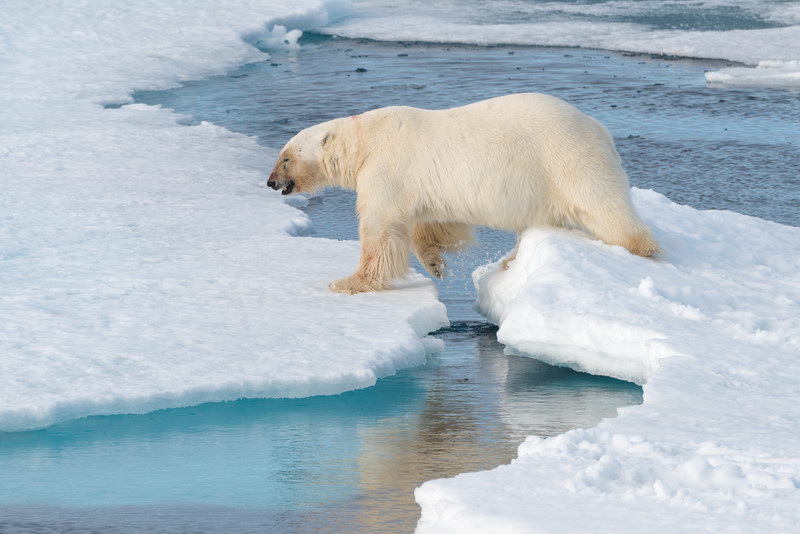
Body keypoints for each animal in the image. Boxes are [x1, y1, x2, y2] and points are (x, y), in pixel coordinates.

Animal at [266, 95, 660, 298]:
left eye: (285, 157)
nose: (270, 182)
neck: (365, 142)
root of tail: (598, 127)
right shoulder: (424, 184)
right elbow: (430, 222)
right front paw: (436, 264)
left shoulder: (387, 168)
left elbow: (381, 227)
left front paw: (346, 282)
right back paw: (509, 261)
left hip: (564, 158)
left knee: (602, 203)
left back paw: (641, 248)